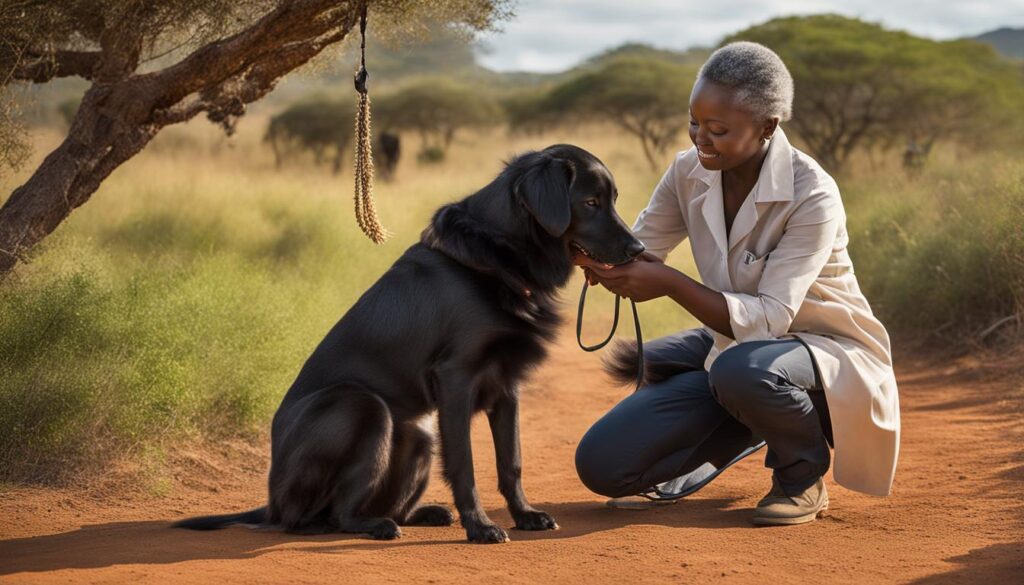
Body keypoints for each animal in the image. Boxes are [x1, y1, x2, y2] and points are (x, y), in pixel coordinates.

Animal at [174, 144, 638, 540]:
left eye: (613, 198)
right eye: (590, 203)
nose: (638, 248)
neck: (499, 256)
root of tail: (271, 502)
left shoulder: (506, 387)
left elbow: (512, 462)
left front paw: (525, 515)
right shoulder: (456, 378)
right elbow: (466, 465)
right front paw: (480, 527)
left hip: (419, 434)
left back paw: (423, 514)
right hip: (361, 407)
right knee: (327, 515)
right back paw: (368, 525)